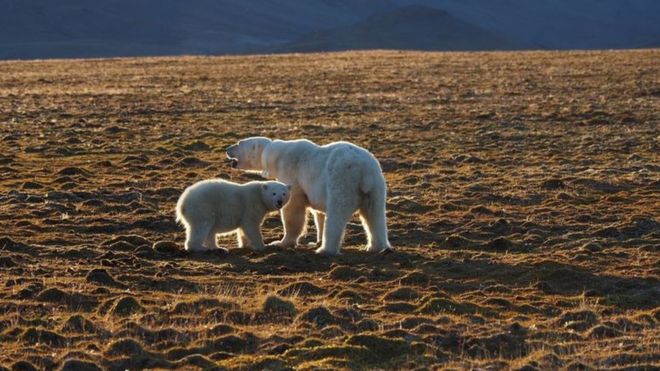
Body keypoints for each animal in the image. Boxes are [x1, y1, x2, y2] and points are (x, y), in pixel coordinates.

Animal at [227, 138, 392, 258]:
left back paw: (325, 250)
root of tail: (364, 171)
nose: (227, 149)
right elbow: (318, 211)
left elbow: (293, 208)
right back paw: (376, 247)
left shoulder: (290, 171)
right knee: (374, 214)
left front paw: (280, 242)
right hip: (376, 186)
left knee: (337, 214)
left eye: (239, 143)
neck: (276, 154)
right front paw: (316, 240)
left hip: (342, 179)